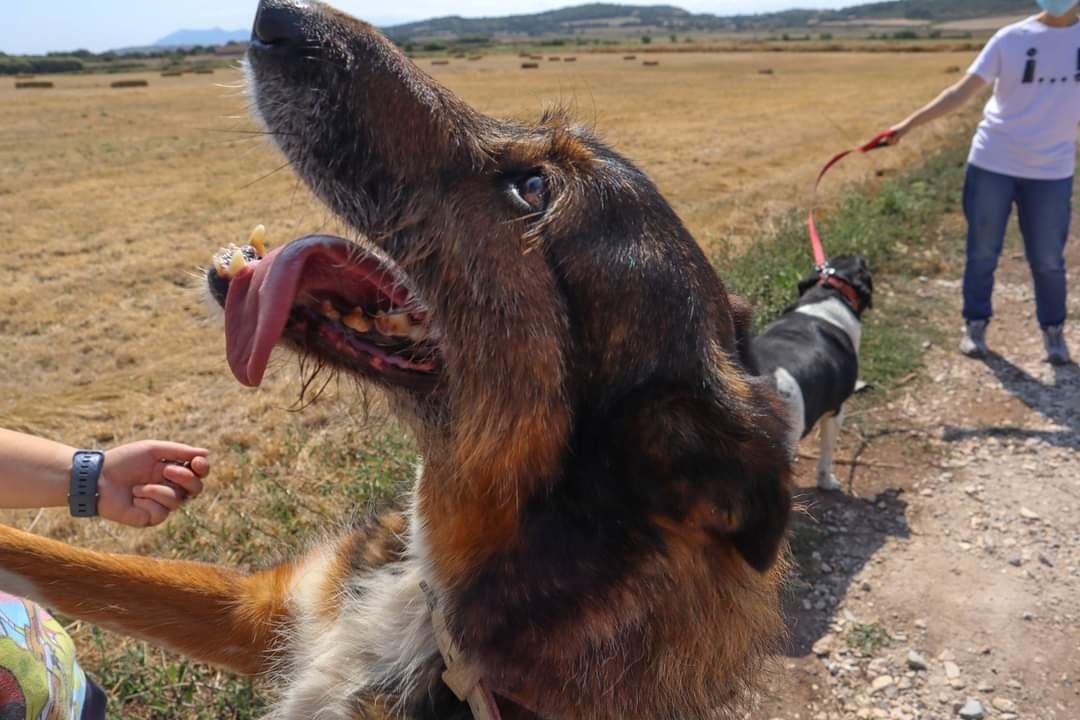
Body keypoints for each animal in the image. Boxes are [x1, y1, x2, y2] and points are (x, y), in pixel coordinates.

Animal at [751, 255, 876, 492]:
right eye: (863, 264)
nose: (864, 256)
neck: (827, 297)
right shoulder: (836, 411)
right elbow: (826, 456)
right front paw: (826, 482)